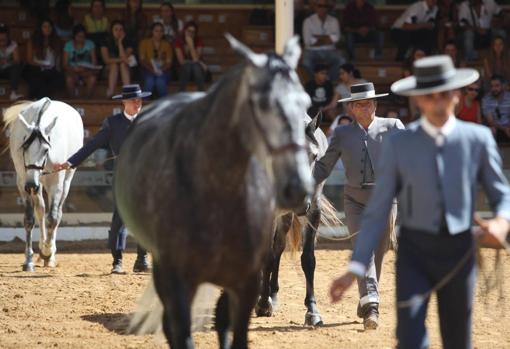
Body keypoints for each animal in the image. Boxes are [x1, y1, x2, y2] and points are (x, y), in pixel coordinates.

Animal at [3, 96, 83, 270]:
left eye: (46, 150)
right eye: (24, 147)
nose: (31, 185)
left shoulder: (55, 183)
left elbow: (52, 218)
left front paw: (47, 252)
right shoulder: (23, 181)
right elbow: (29, 219)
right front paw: (29, 260)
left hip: (64, 181)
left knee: (57, 213)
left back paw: (49, 254)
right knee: (40, 210)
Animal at [115, 36, 312, 348]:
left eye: (305, 102)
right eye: (261, 103)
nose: (297, 189)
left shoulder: (244, 283)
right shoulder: (178, 282)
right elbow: (182, 332)